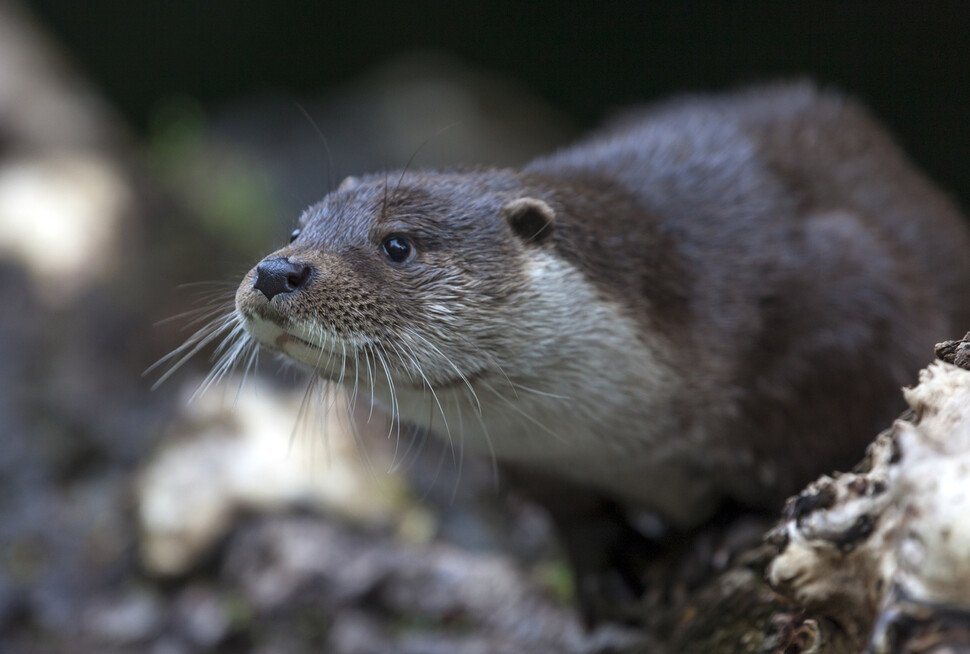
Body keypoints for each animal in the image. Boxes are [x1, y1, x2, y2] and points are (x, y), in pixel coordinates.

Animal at [233, 84, 968, 628]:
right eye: (299, 227)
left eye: (397, 244)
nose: (276, 269)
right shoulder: (537, 456)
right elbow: (568, 510)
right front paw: (602, 572)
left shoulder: (845, 307)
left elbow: (808, 447)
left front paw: (721, 536)